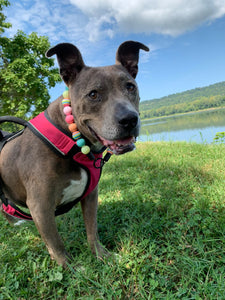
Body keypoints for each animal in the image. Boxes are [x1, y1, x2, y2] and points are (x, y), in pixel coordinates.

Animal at [0, 40, 150, 268]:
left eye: (130, 86)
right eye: (93, 94)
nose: (129, 119)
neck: (70, 140)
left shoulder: (91, 197)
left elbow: (92, 230)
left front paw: (101, 255)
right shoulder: (40, 207)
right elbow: (56, 243)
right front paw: (69, 268)